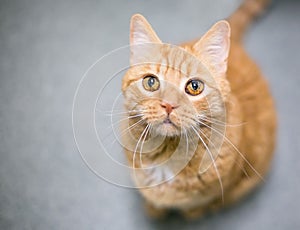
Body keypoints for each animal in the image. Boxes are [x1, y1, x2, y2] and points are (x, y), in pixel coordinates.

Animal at [120, 0, 276, 218]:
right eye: (151, 82)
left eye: (195, 86)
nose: (168, 104)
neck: (168, 156)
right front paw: (153, 209)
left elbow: (196, 207)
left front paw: (191, 213)